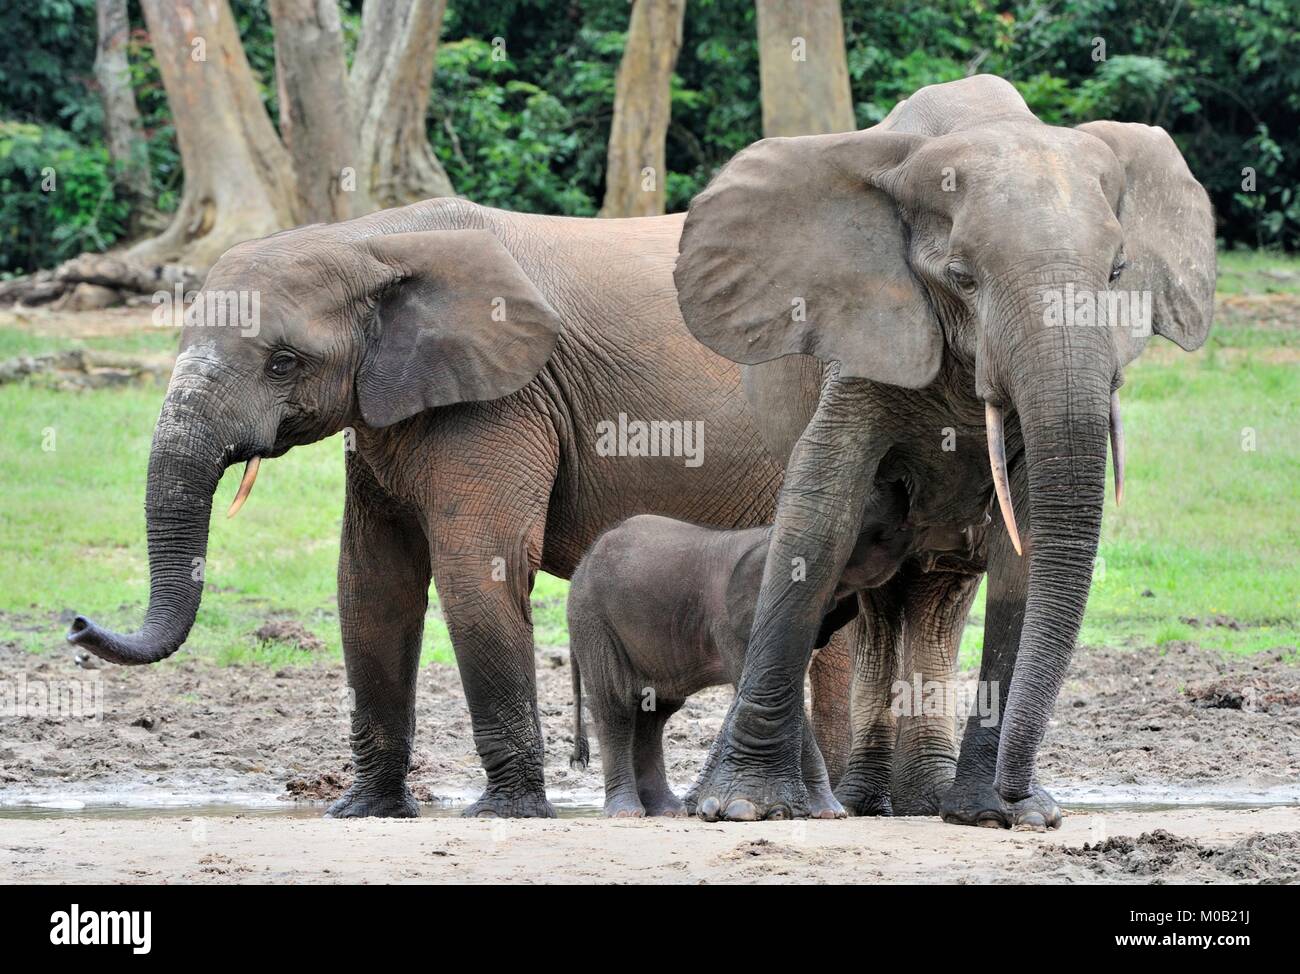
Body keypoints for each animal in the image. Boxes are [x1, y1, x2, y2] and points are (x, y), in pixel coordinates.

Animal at [64, 196, 874, 818]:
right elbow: (371, 586)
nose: (76, 623)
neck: (372, 240)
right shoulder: (388, 408)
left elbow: (474, 569)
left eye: (284, 363)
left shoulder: (502, 395)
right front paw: (364, 813)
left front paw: (506, 813)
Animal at [566, 480, 983, 818]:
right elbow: (781, 692)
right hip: (592, 620)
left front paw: (826, 812)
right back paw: (627, 813)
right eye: (883, 532)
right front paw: (830, 812)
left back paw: (667, 812)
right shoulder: (736, 620)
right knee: (617, 706)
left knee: (656, 711)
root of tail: (581, 564)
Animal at [672, 75, 1215, 826]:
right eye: (961, 276)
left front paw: (1001, 814)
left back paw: (922, 800)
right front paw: (745, 806)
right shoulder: (864, 328)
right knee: (872, 596)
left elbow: (1027, 544)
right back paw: (856, 803)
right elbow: (820, 512)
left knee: (939, 593)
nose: (1026, 796)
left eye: (1117, 272)